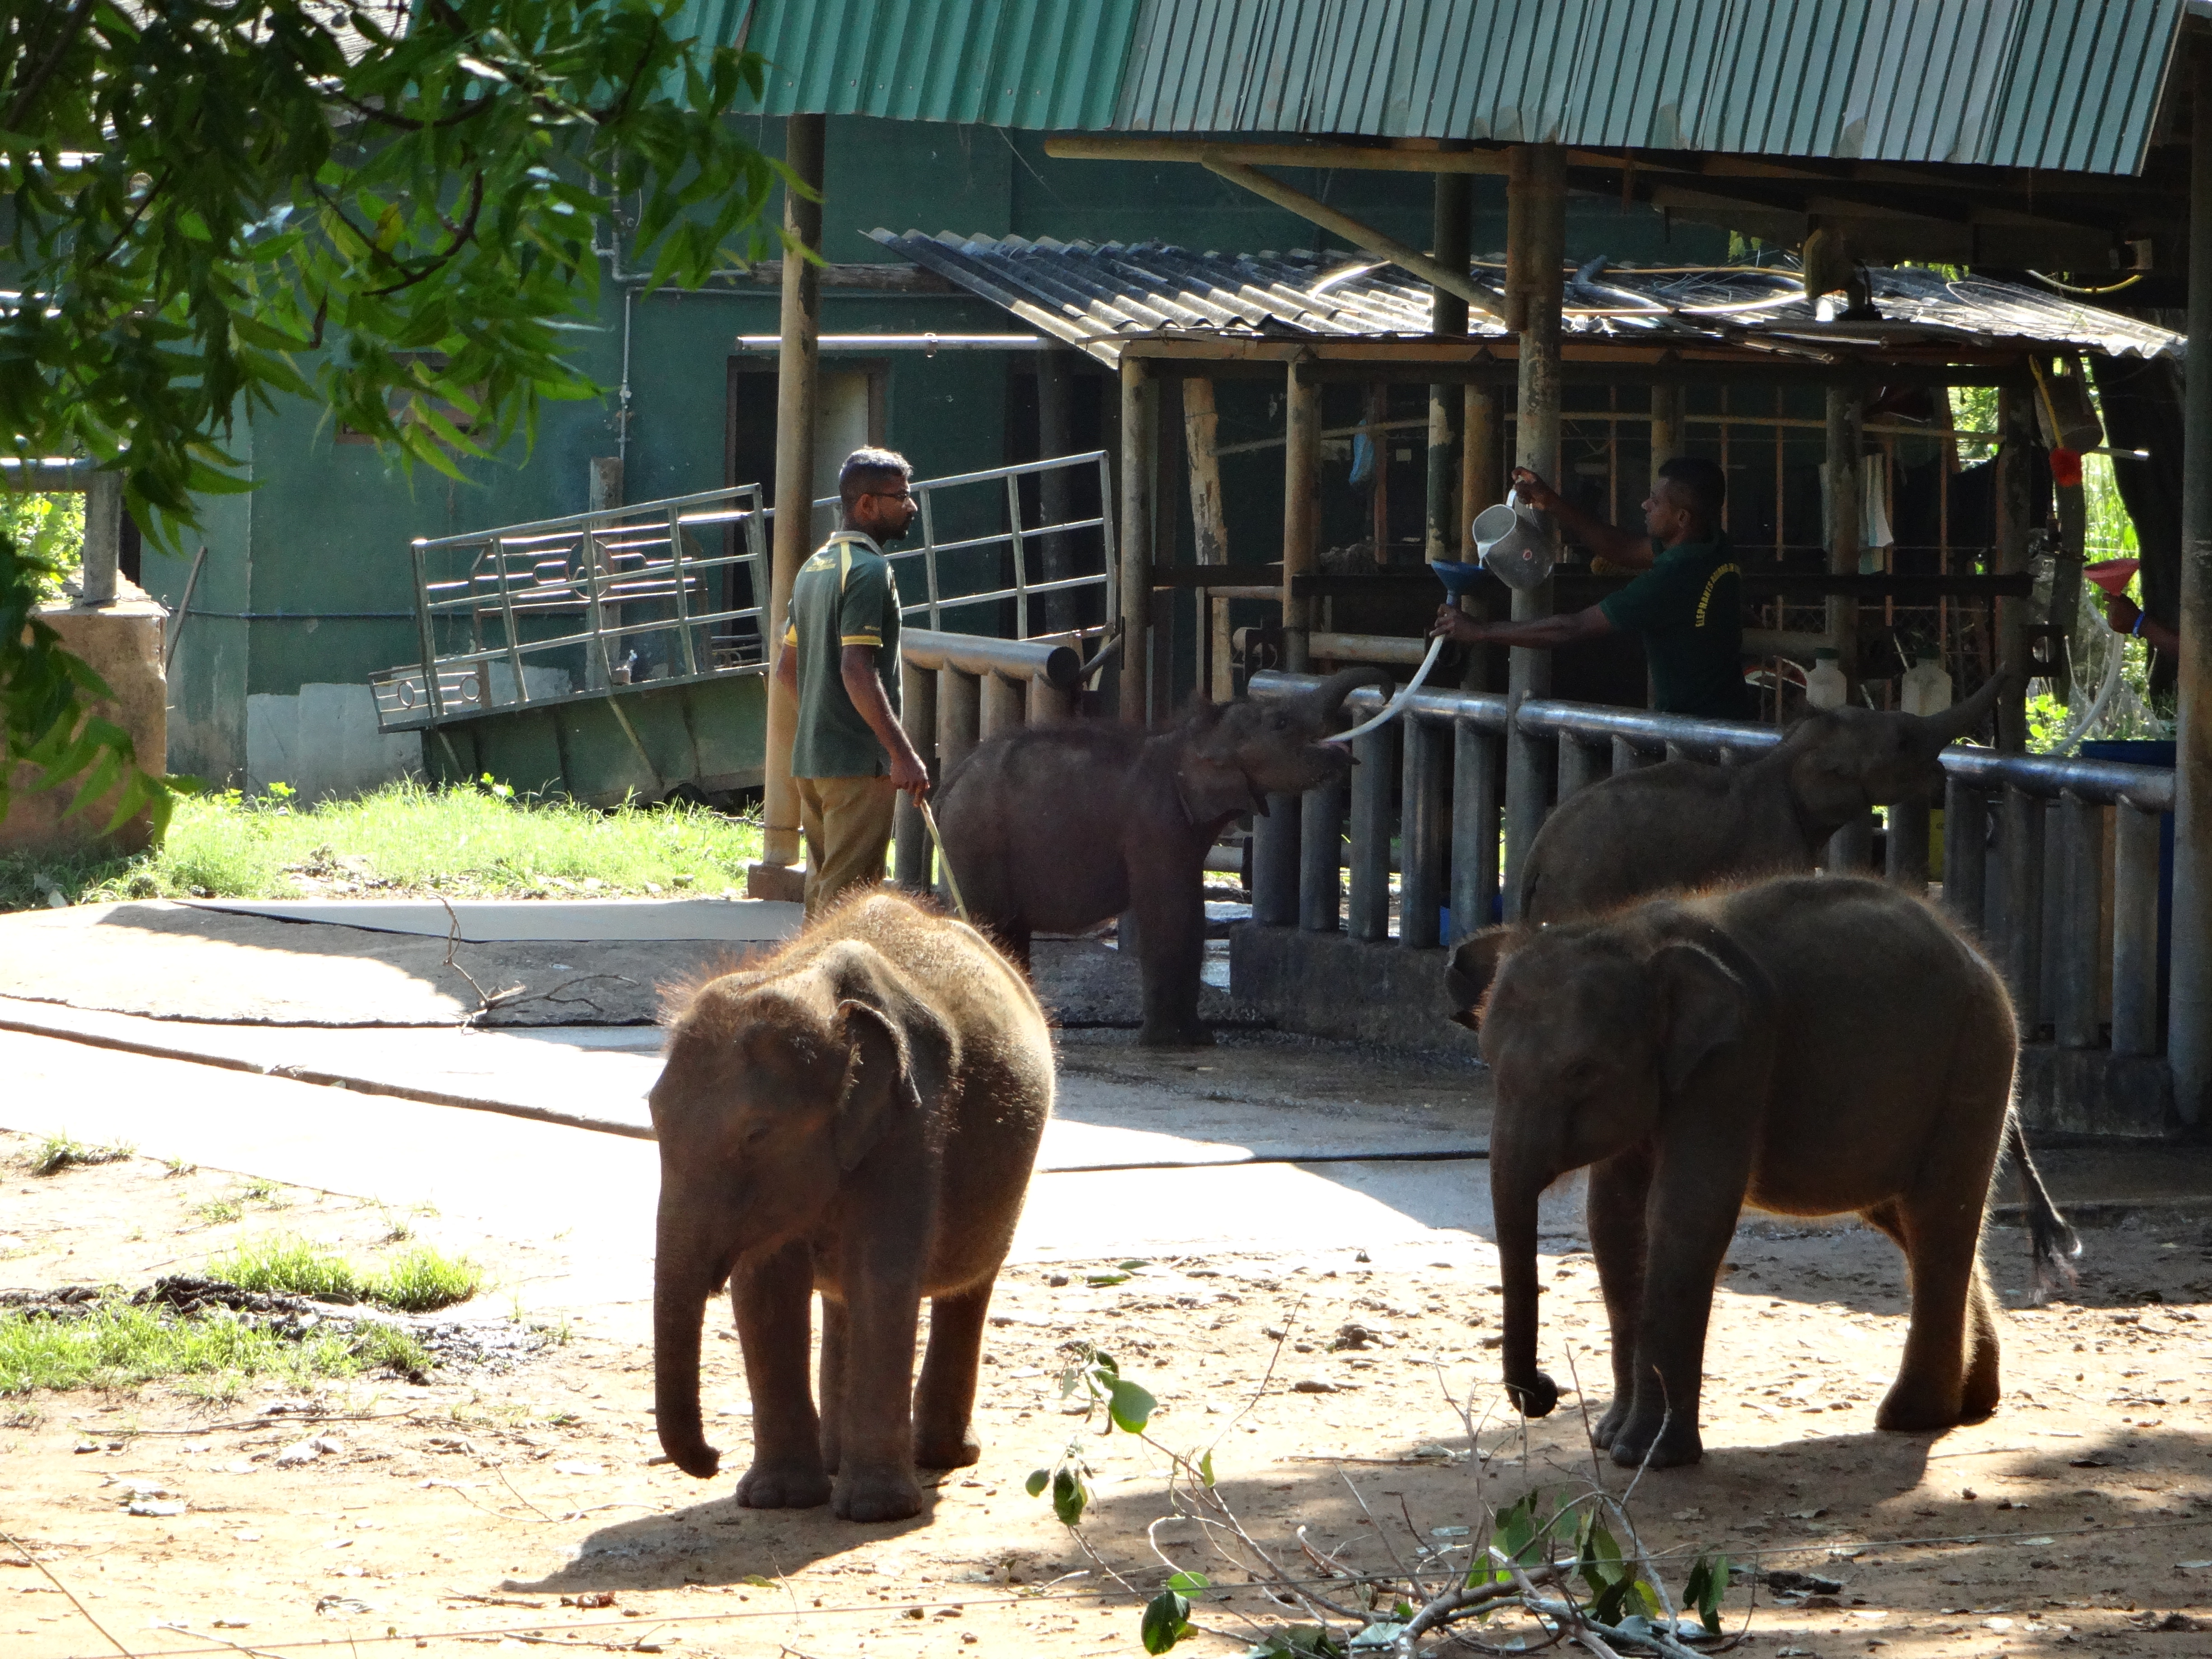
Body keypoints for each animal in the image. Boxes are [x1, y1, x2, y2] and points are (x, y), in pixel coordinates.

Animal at [646, 898, 1053, 1522]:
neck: (808, 982)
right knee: (841, 1299)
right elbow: (764, 1289)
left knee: (969, 1284)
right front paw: (778, 1500)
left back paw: (942, 1456)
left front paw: (876, 1511)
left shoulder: (912, 1126)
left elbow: (882, 1278)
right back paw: (836, 1460)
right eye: (652, 1117)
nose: (712, 1459)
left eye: (757, 1136)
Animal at [929, 668, 1380, 1044]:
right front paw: (1181, 1043)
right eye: (1281, 723)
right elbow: (1174, 912)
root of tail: (945, 784)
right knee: (991, 926)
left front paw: (1194, 1040)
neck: (1191, 739)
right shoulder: (1156, 821)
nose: (1388, 683)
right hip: (975, 843)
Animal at [1442, 876, 2079, 1477]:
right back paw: (1971, 1404)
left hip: (1976, 1059)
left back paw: (1911, 1417)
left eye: (1582, 1072)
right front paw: (1610, 1440)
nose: (1547, 1392)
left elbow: (1686, 1213)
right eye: (1489, 1062)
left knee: (1936, 1218)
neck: (1631, 934)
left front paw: (1648, 1456)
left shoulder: (1735, 1061)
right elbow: (1613, 1222)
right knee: (1909, 1222)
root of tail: (1977, 955)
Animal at [1522, 668, 2026, 924]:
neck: (1784, 756)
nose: (2011, 665)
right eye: (1902, 741)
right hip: (1583, 888)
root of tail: (1536, 855)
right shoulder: (1770, 845)